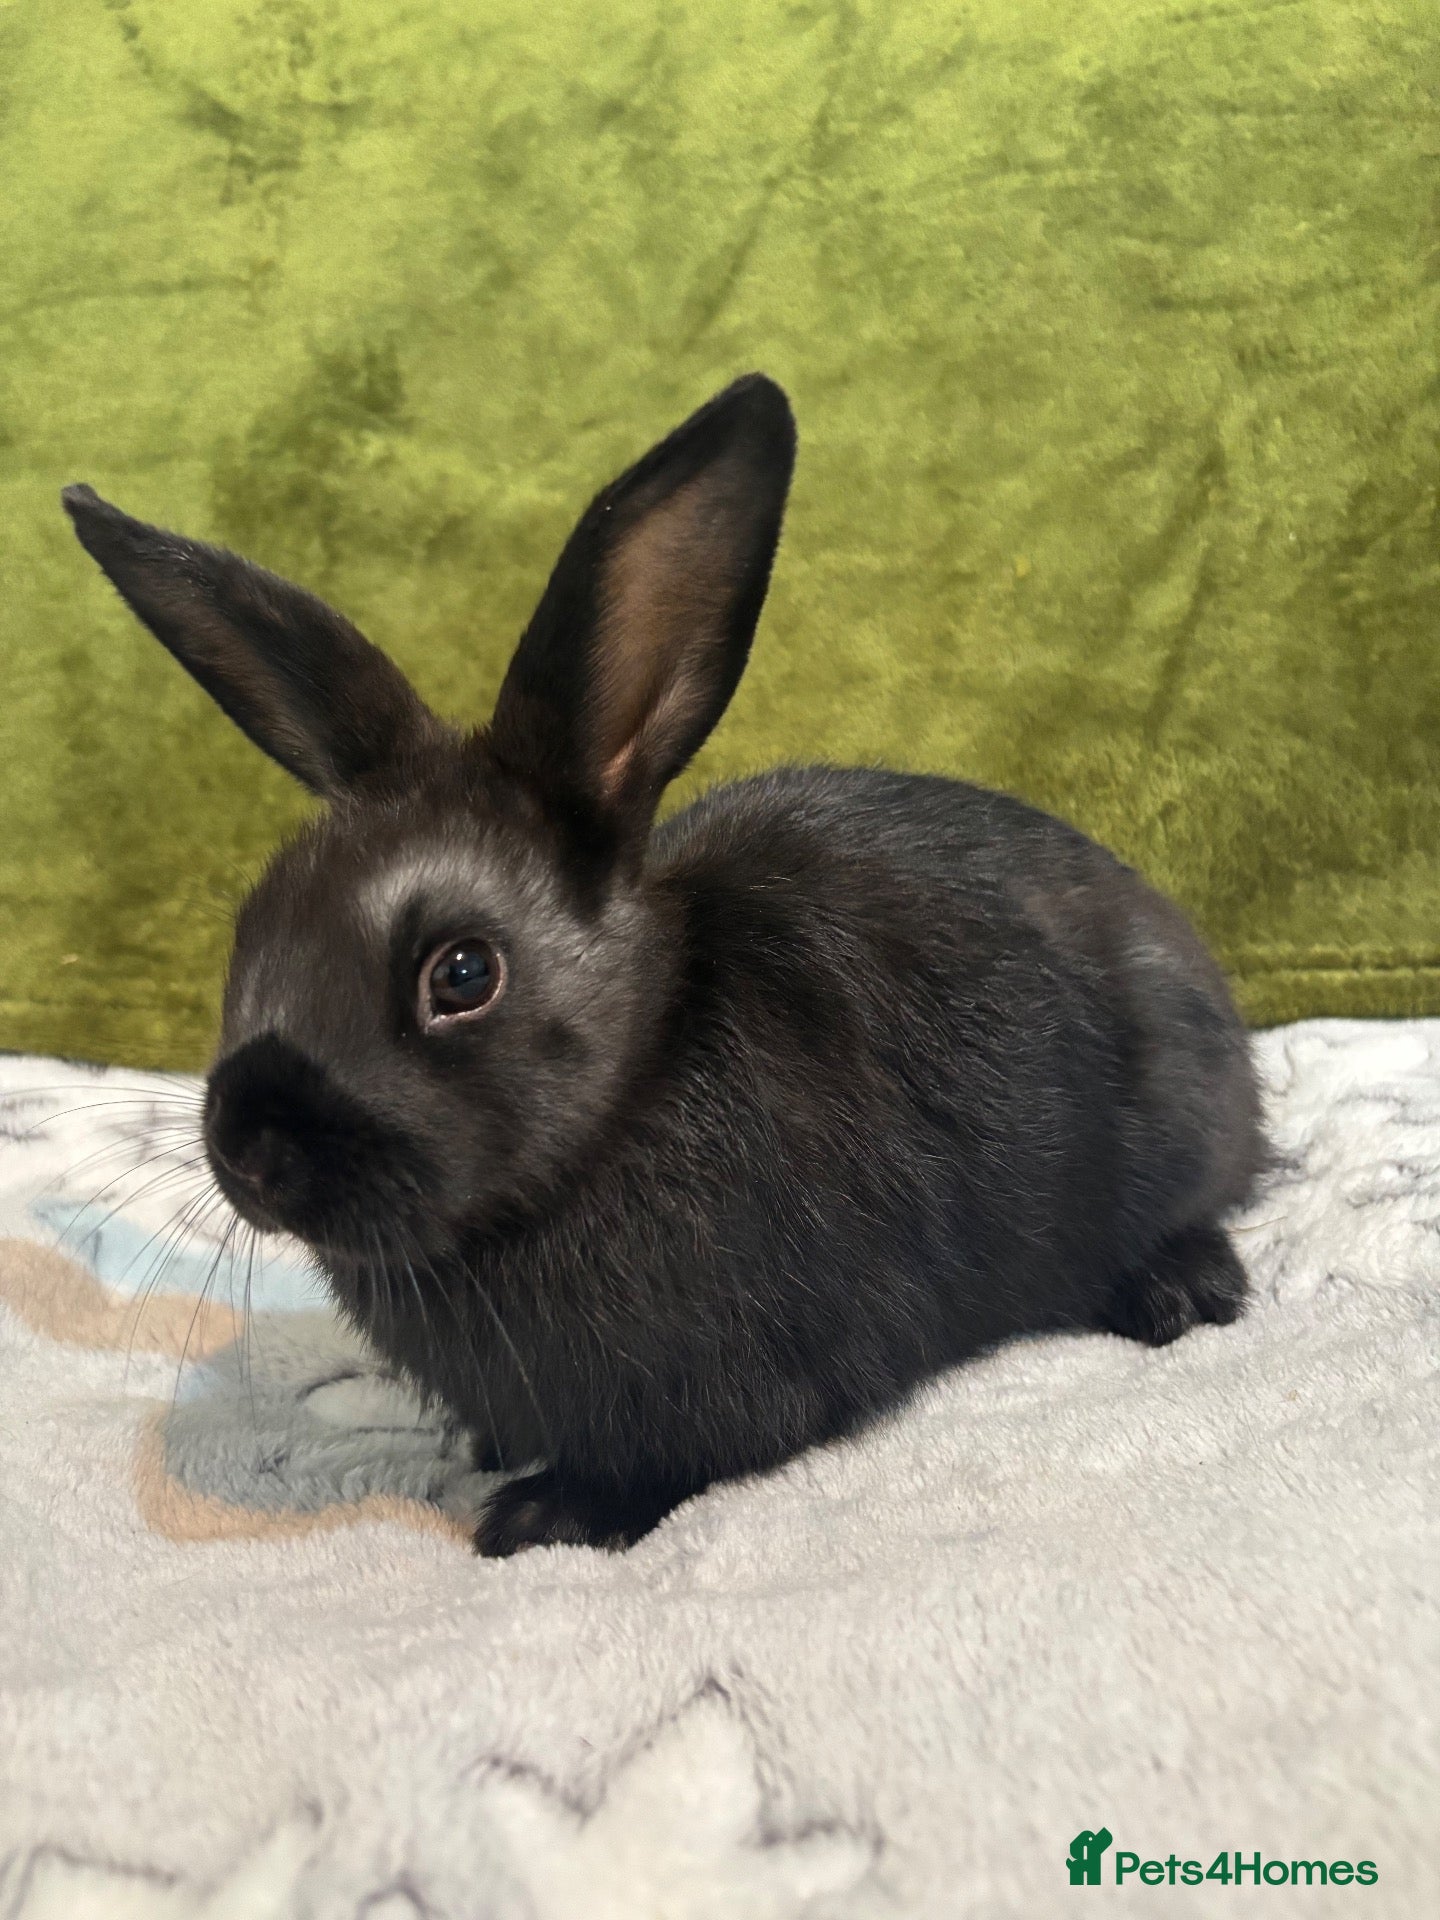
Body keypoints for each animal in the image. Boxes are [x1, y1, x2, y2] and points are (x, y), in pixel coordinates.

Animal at [62, 374, 1266, 1556]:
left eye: (462, 975)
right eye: (253, 925)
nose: (250, 1152)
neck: (629, 1094)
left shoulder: (756, 1374)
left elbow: (678, 1462)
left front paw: (540, 1515)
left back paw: (1182, 1292)